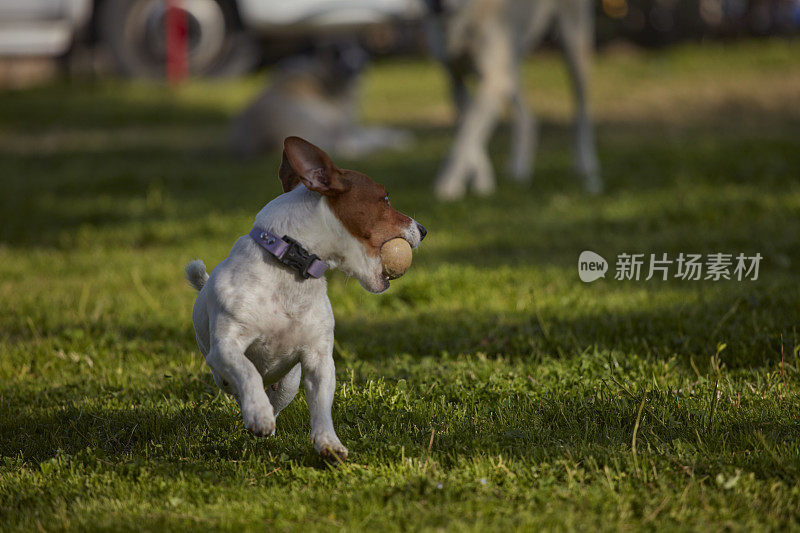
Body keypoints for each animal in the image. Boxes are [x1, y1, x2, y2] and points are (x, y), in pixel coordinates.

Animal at [186, 135, 424, 456]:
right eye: (385, 199)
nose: (423, 229)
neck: (293, 265)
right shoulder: (225, 346)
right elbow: (247, 370)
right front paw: (257, 412)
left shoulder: (319, 360)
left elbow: (322, 406)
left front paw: (329, 443)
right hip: (220, 371)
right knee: (242, 383)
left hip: (288, 383)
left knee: (277, 400)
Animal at [424, 0, 600, 198]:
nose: (436, 5)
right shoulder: (455, 80)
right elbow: (467, 131)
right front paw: (482, 180)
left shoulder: (493, 80)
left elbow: (466, 134)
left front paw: (448, 185)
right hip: (512, 67)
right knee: (528, 119)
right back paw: (519, 170)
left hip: (574, 44)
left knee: (582, 114)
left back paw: (587, 167)